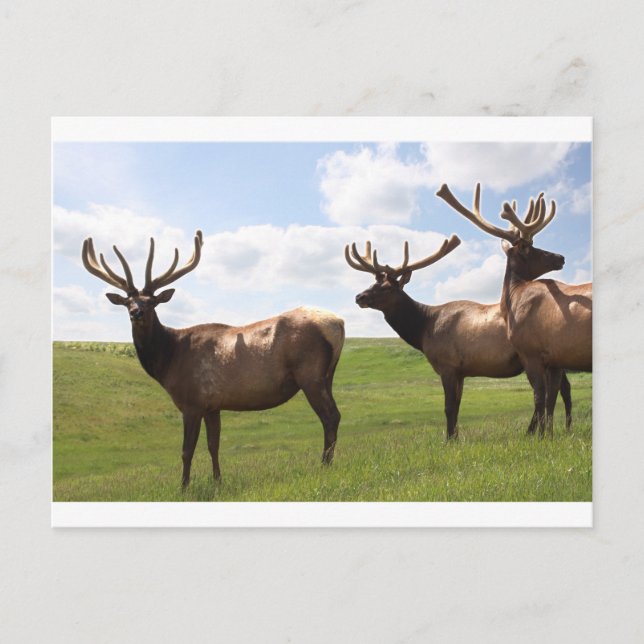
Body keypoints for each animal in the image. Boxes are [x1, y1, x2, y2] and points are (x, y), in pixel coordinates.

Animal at [81, 230, 345, 486]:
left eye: (152, 301)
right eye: (127, 302)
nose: (137, 313)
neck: (168, 360)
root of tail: (338, 323)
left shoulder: (192, 402)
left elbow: (187, 450)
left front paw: (184, 487)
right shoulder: (212, 405)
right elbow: (213, 445)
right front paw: (218, 481)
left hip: (310, 374)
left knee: (331, 416)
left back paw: (325, 466)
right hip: (328, 375)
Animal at [344, 234, 572, 440]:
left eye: (387, 288)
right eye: (373, 283)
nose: (359, 296)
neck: (423, 329)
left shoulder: (447, 365)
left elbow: (448, 406)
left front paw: (448, 439)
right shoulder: (461, 371)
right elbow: (457, 406)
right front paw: (455, 436)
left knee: (551, 392)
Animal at [436, 182, 591, 436]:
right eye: (529, 246)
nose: (560, 257)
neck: (511, 300)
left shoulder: (530, 351)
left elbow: (540, 397)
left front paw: (540, 436)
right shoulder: (552, 358)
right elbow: (549, 398)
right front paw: (548, 433)